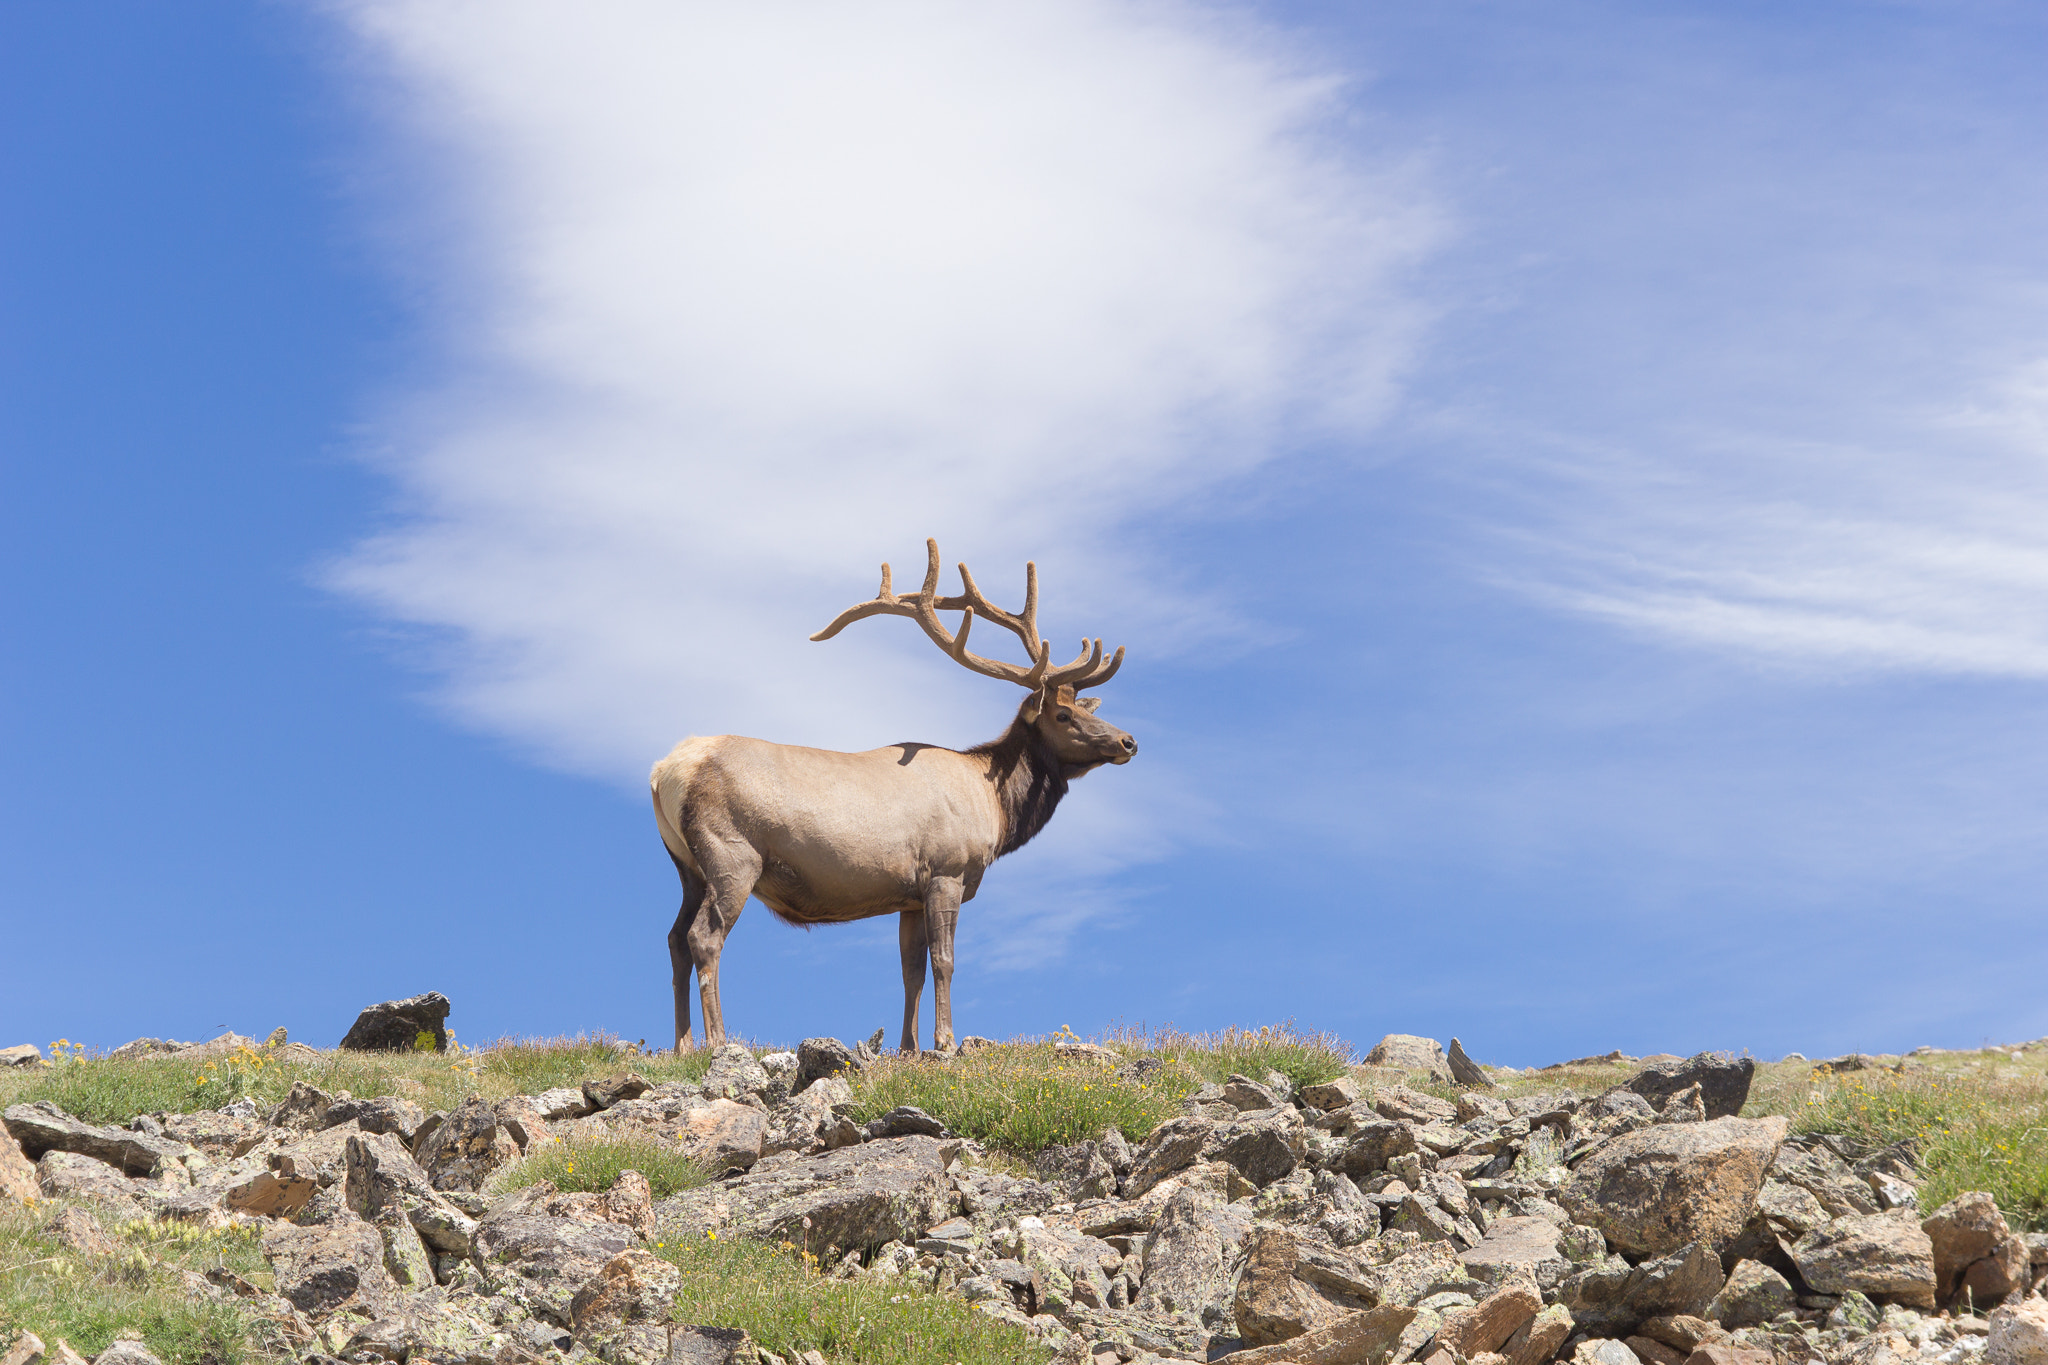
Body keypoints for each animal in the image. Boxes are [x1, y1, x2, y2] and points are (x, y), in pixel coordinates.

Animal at [649, 539, 1137, 1054]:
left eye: (1084, 708)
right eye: (1063, 715)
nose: (1128, 742)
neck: (993, 804)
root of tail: (664, 772)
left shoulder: (909, 895)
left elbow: (911, 971)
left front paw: (907, 1047)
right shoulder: (946, 869)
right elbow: (944, 960)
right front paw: (945, 1041)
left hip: (687, 864)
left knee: (675, 938)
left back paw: (681, 1045)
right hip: (731, 853)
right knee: (705, 936)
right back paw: (718, 1042)